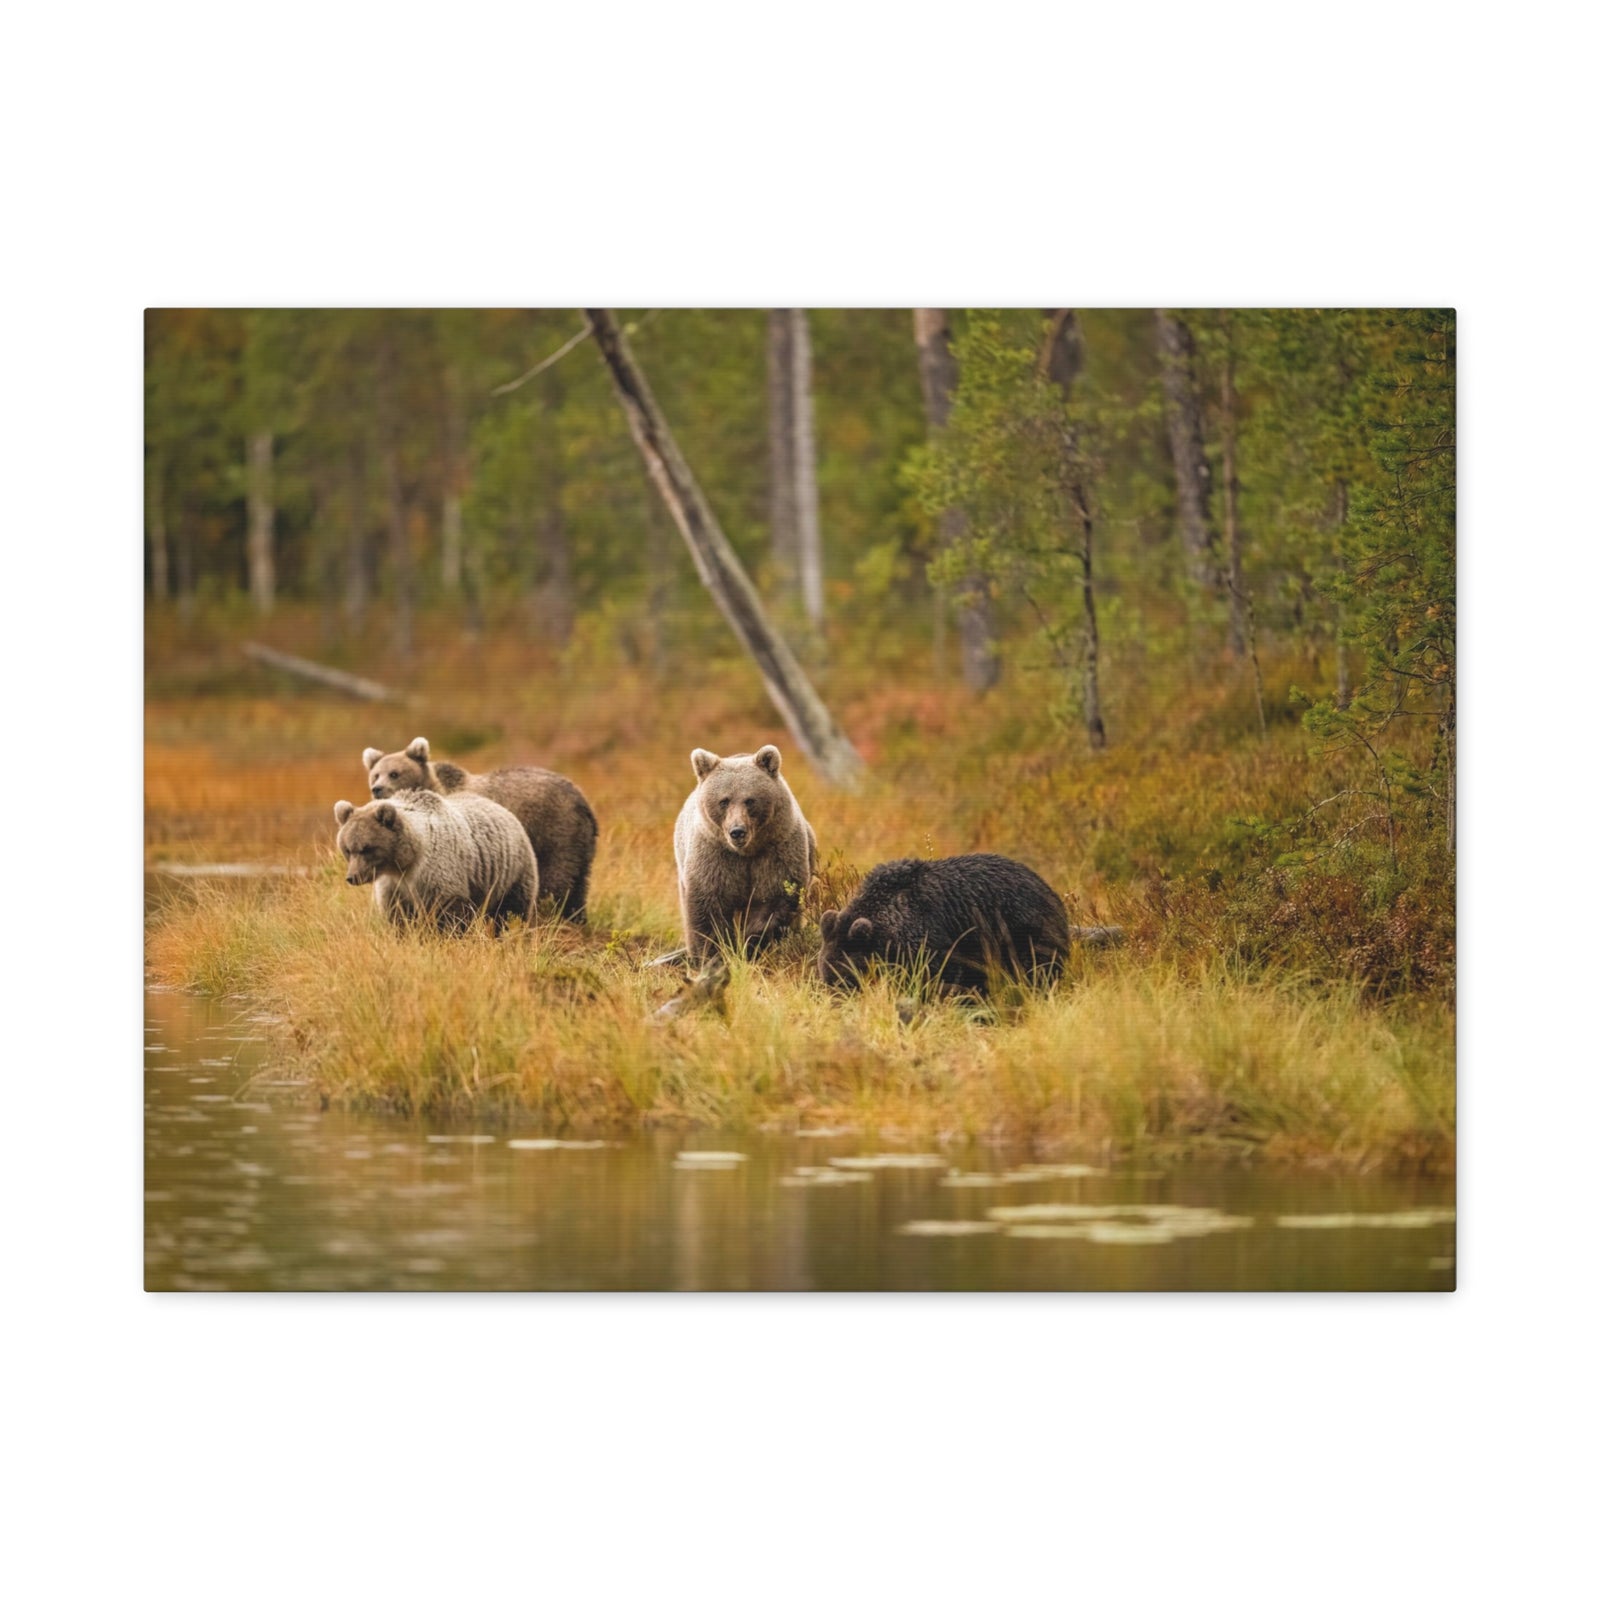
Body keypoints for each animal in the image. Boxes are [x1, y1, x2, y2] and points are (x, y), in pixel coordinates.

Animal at [333, 789, 538, 933]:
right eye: (348, 849)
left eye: (367, 848)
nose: (352, 877)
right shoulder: (392, 886)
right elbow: (398, 916)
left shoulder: (435, 871)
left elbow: (446, 912)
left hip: (511, 872)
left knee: (511, 911)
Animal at [361, 737, 597, 922]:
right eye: (375, 774)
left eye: (394, 773)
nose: (376, 789)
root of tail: (583, 800)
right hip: (579, 846)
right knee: (578, 886)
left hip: (554, 833)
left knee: (554, 882)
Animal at [673, 744, 818, 962]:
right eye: (724, 801)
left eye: (750, 800)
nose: (737, 831)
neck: (747, 852)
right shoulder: (715, 856)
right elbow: (709, 907)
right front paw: (716, 954)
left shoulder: (776, 852)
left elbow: (773, 901)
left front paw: (751, 942)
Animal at [817, 854, 1071, 995]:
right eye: (825, 973)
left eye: (845, 974)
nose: (833, 998)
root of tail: (1051, 892)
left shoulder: (932, 942)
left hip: (1023, 931)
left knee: (1035, 971)